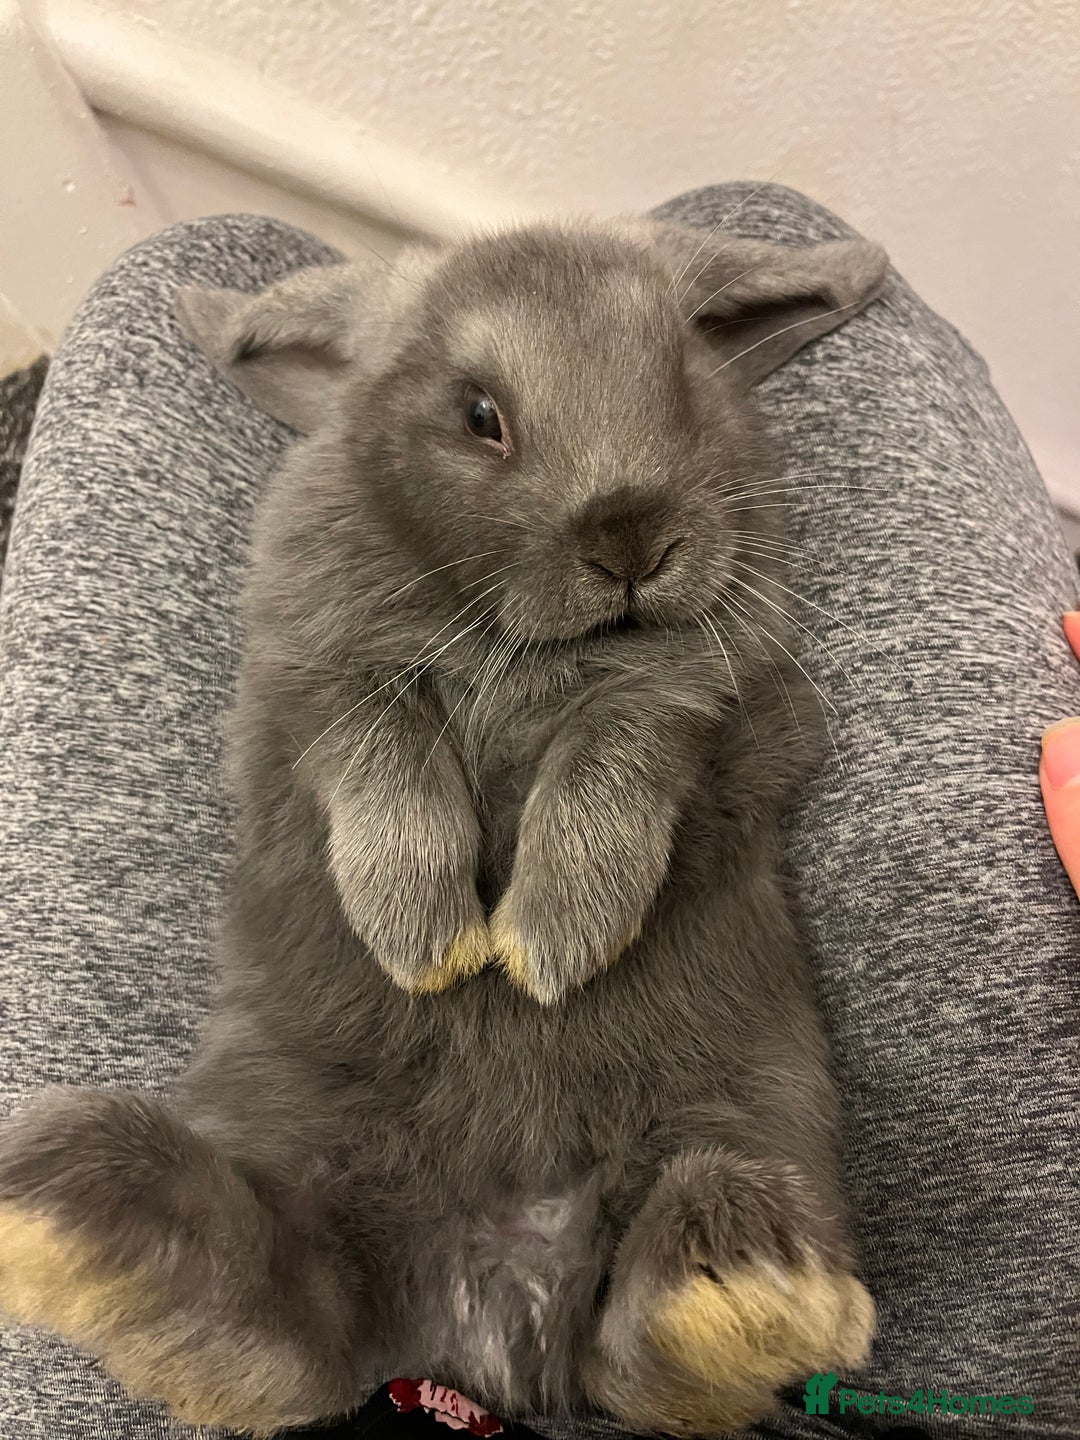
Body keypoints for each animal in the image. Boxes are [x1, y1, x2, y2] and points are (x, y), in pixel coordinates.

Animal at [0, 214, 888, 1438]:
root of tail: (490, 1317)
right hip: (296, 1148)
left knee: (649, 1347)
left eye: (683, 377)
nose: (632, 540)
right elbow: (388, 758)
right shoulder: (320, 678)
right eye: (478, 413)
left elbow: (613, 756)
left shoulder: (697, 694)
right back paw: (65, 1212)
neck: (519, 629)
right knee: (274, 1323)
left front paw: (549, 946)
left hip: (755, 1115)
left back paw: (735, 1281)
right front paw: (427, 942)